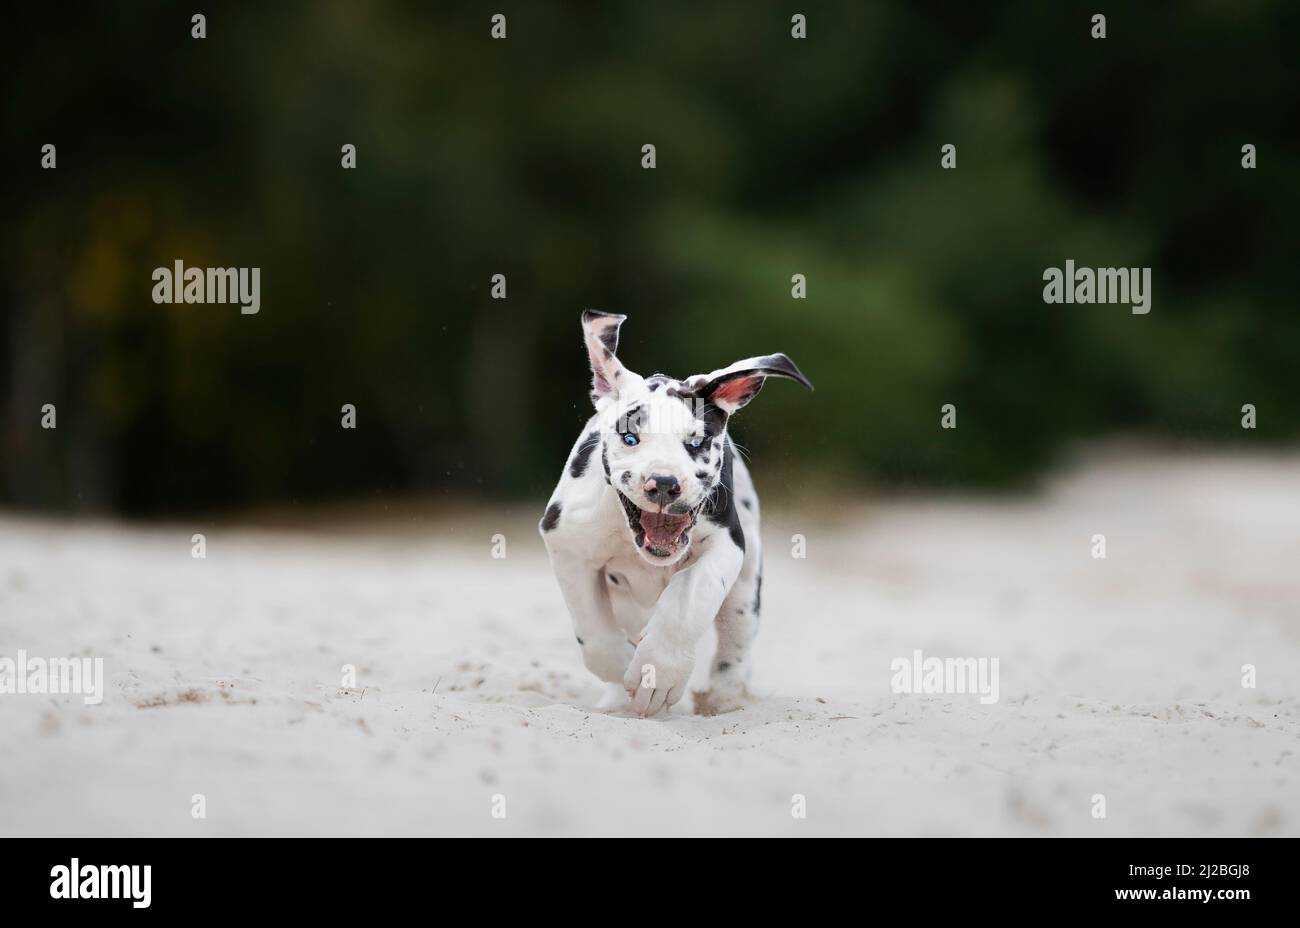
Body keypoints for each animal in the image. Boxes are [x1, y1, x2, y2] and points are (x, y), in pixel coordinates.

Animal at [538, 310, 811, 717]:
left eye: (696, 442)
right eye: (630, 438)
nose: (664, 483)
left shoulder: (727, 544)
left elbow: (690, 594)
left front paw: (658, 671)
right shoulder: (568, 544)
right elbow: (594, 630)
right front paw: (625, 669)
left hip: (746, 585)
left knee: (736, 640)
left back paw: (724, 695)